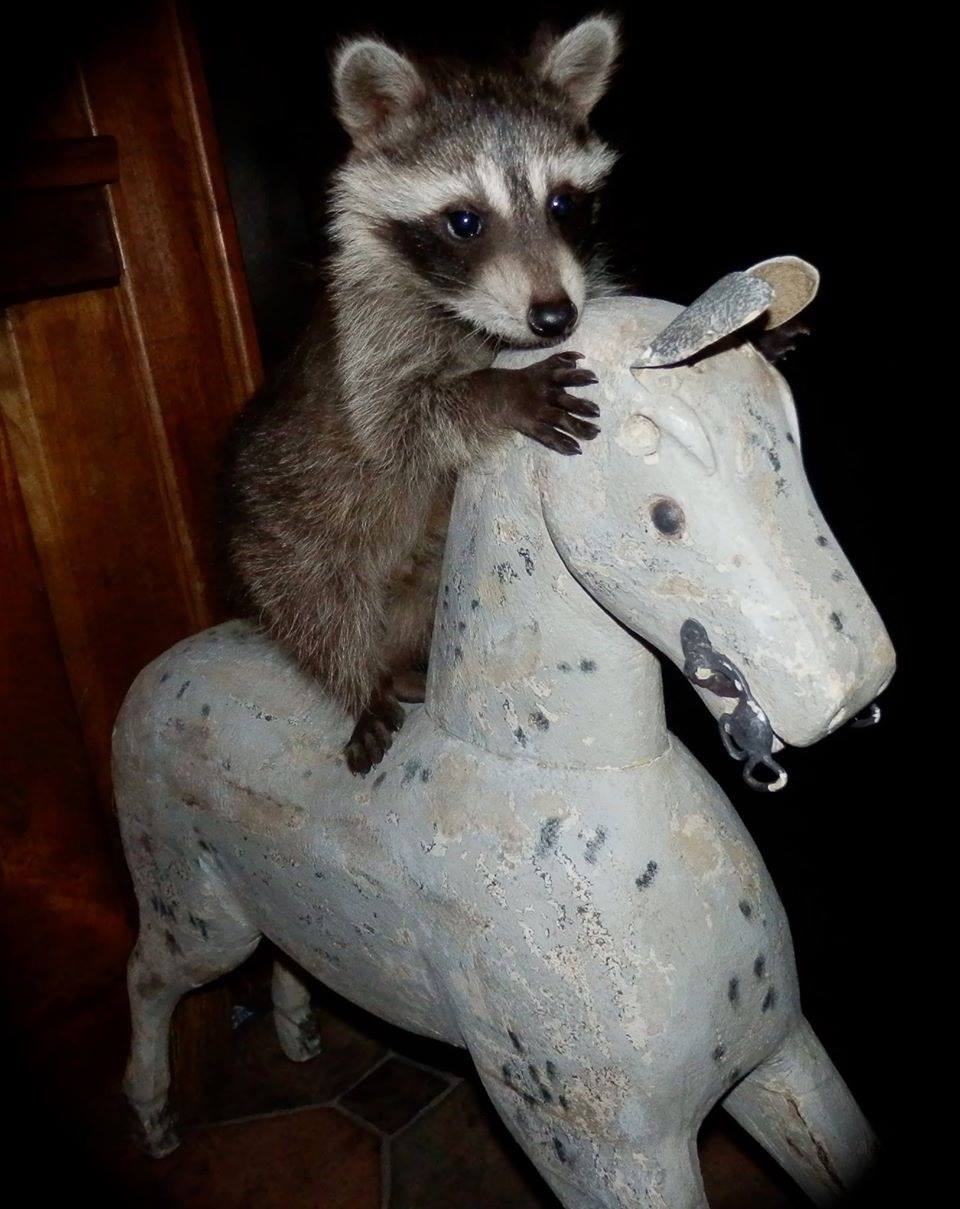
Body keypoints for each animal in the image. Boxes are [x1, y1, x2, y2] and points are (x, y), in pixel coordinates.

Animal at [225, 15, 621, 774]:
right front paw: (498, 394)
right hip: (281, 537)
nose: (554, 318)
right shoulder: (368, 335)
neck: (473, 318)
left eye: (563, 203)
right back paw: (364, 679)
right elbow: (394, 422)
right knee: (313, 603)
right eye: (465, 221)